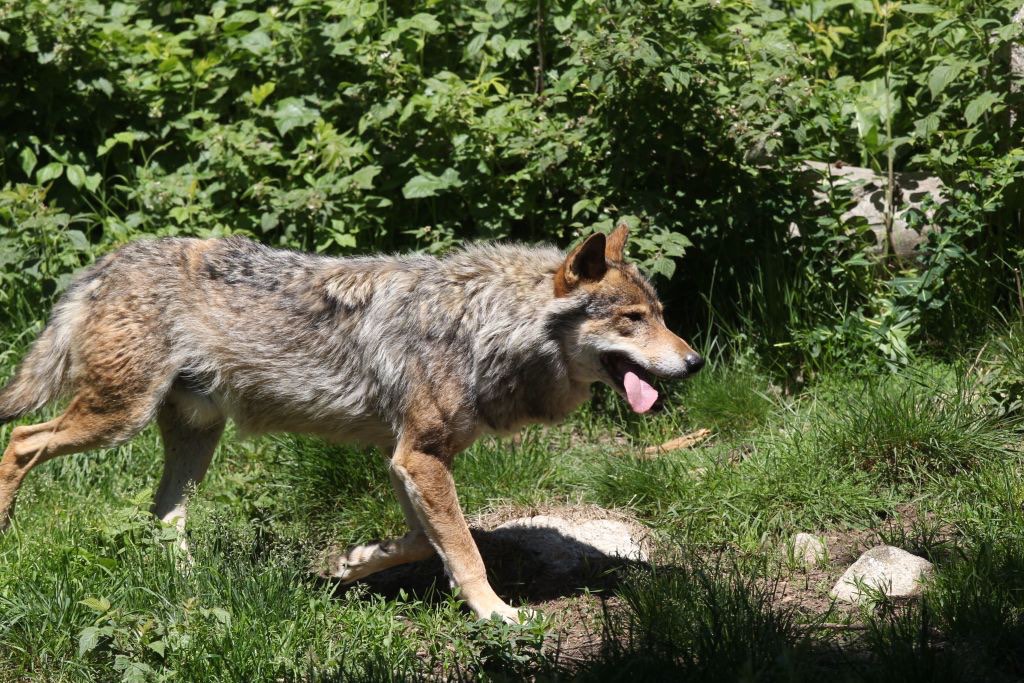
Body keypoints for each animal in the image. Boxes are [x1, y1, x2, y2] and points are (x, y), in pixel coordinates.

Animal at [0, 224, 703, 621]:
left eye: (662, 315)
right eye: (633, 320)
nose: (694, 362)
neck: (486, 328)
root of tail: (104, 264)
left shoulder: (410, 460)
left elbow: (424, 541)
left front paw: (350, 564)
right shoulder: (419, 458)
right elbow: (468, 551)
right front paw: (497, 614)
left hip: (195, 436)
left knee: (163, 516)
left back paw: (198, 587)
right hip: (116, 419)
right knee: (20, 439)